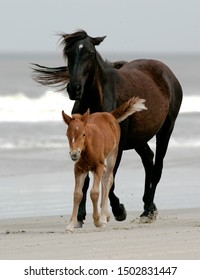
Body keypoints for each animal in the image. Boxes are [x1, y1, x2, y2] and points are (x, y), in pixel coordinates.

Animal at [61, 96, 146, 232]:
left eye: (83, 134)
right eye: (67, 134)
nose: (74, 154)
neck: (88, 149)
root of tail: (109, 115)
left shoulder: (98, 166)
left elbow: (94, 193)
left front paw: (98, 221)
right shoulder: (79, 169)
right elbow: (77, 195)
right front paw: (70, 225)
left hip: (112, 156)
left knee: (108, 180)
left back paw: (103, 217)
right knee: (104, 181)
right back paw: (105, 215)